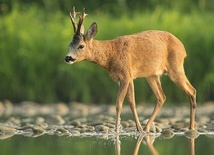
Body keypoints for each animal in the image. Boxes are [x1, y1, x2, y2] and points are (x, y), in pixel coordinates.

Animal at [64, 7, 196, 133]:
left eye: (81, 46)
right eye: (69, 44)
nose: (68, 58)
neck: (111, 54)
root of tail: (183, 48)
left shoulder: (125, 76)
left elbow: (119, 104)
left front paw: (116, 130)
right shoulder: (127, 77)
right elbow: (132, 102)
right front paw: (139, 129)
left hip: (175, 68)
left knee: (192, 91)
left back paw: (191, 127)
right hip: (152, 75)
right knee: (161, 97)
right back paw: (147, 128)